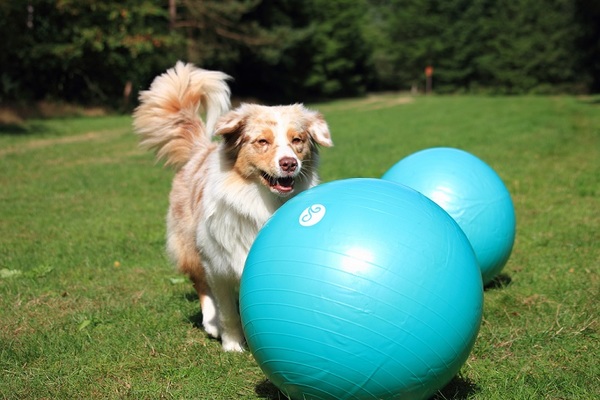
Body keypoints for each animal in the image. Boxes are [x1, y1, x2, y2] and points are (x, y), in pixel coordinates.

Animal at [132, 61, 332, 350]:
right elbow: (227, 310)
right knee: (201, 285)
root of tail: (200, 150)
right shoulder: (218, 264)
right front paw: (232, 346)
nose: (289, 163)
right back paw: (211, 323)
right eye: (262, 141)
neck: (263, 200)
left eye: (297, 140)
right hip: (191, 244)